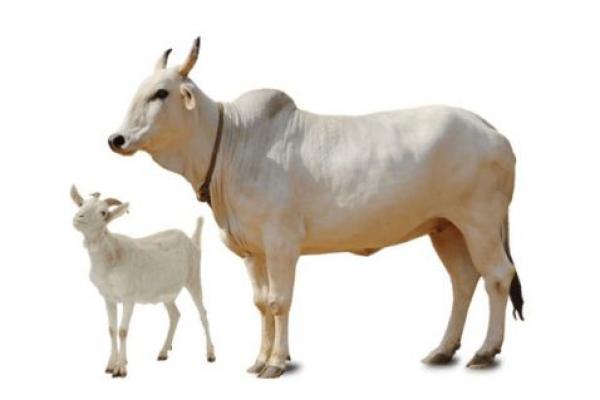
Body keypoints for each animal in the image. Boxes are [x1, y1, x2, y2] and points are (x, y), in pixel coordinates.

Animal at [108, 37, 524, 378]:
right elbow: (261, 303)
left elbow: (279, 302)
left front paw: (276, 362)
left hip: (480, 222)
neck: (231, 145)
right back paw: (443, 350)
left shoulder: (281, 242)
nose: (117, 139)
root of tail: (489, 129)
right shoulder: (252, 251)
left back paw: (485, 351)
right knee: (463, 282)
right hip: (446, 227)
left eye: (161, 93)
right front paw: (259, 360)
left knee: (497, 276)